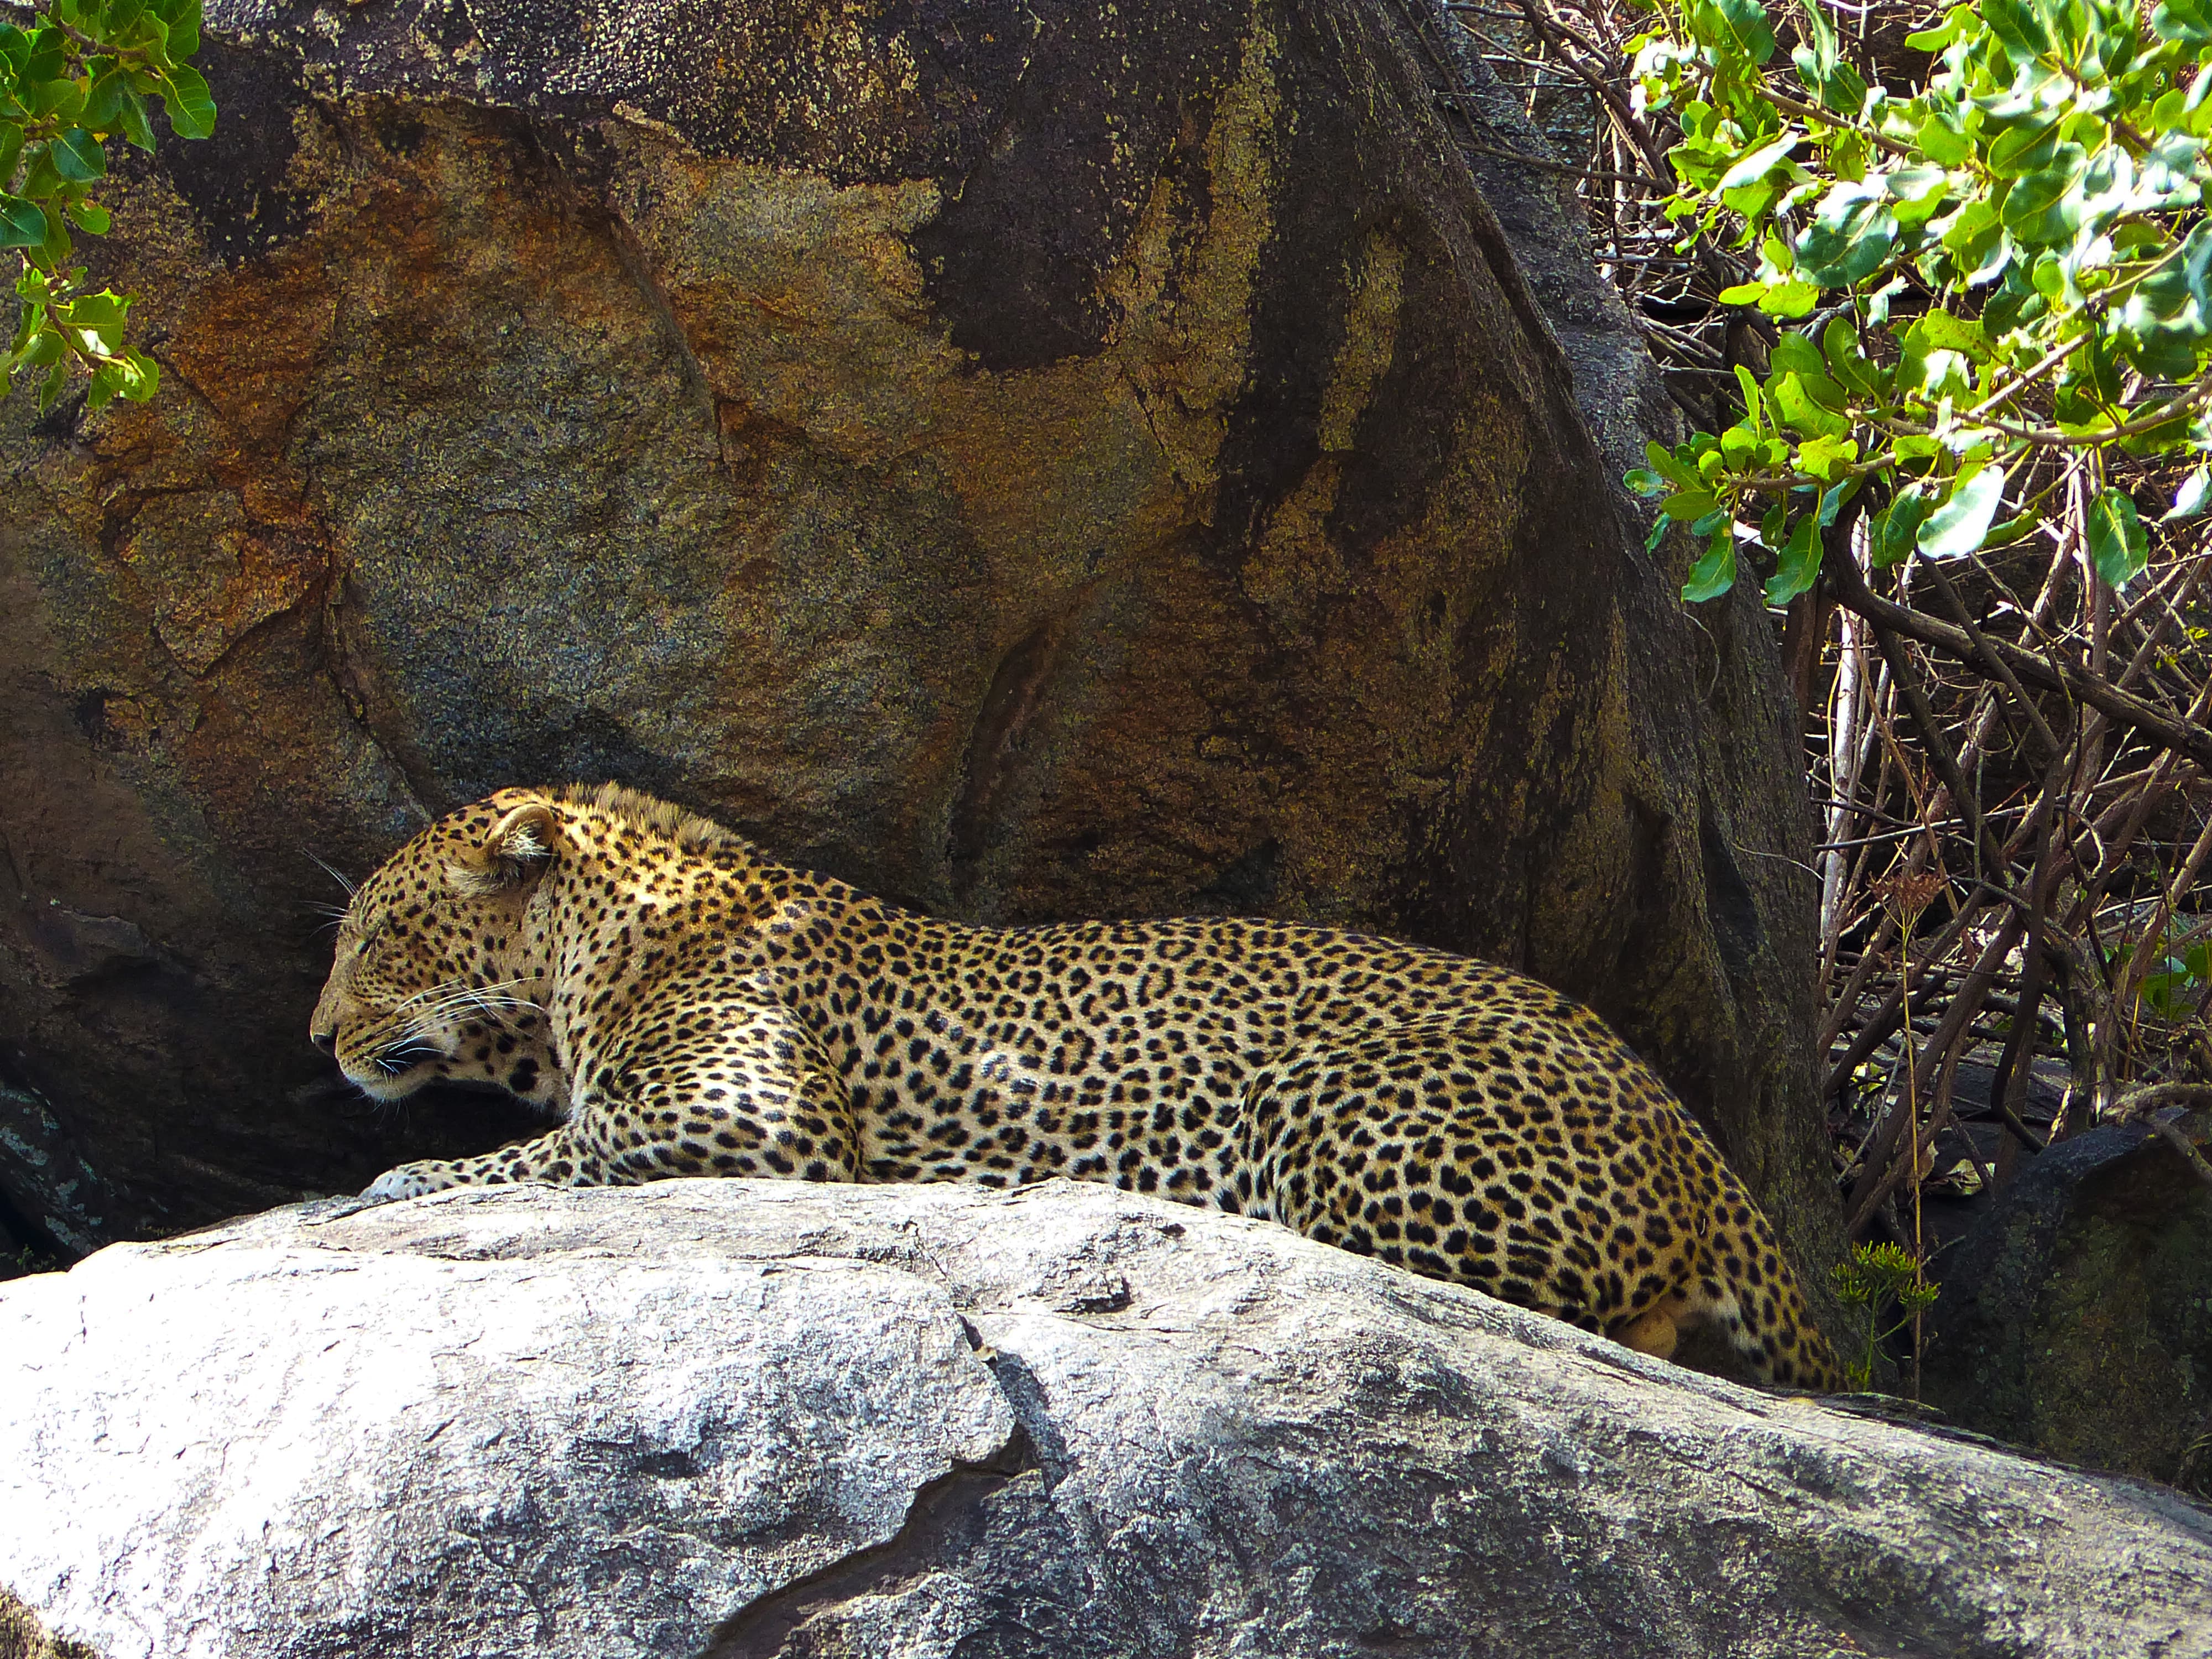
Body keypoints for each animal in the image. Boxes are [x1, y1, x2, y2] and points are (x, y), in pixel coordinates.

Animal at [312, 779, 1849, 1389]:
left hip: (1340, 1116)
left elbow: (561, 1146)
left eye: (377, 938)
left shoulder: (755, 1112)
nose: (317, 1036)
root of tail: (1700, 1141)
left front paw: (400, 1179)